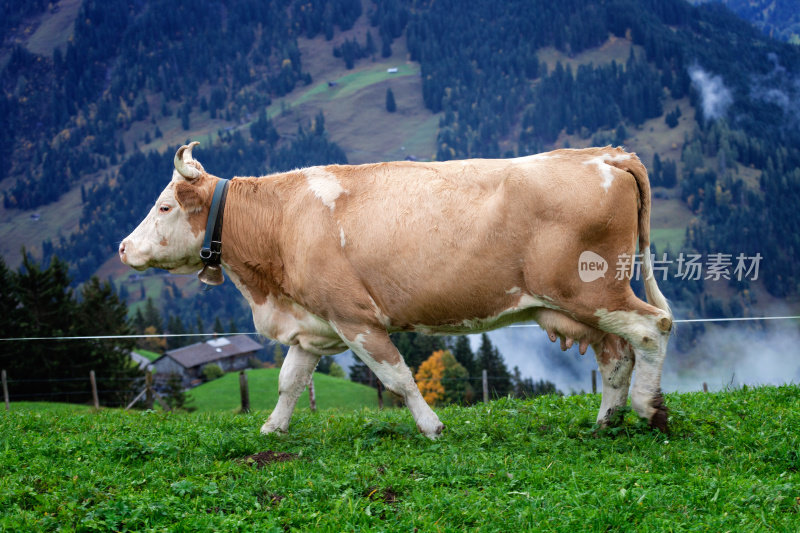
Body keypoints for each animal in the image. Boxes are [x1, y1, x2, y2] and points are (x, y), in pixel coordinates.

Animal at [119, 141, 672, 436]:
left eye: (164, 206)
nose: (123, 247)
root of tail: (606, 154)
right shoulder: (313, 326)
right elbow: (289, 381)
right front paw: (273, 429)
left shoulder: (356, 319)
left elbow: (398, 377)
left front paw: (432, 426)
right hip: (576, 306)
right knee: (616, 354)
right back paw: (606, 421)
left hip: (594, 291)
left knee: (653, 327)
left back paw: (649, 410)